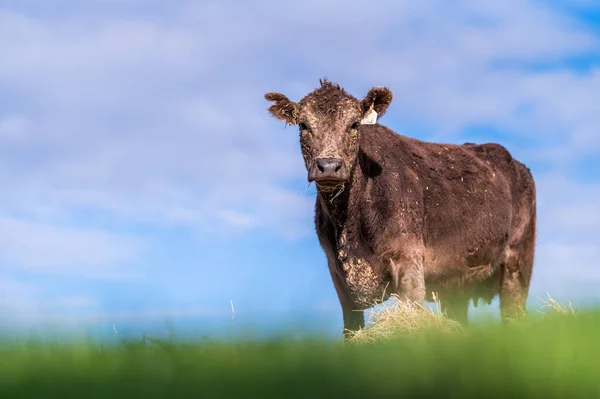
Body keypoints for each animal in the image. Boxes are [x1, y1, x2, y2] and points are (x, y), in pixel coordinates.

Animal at [264, 79, 536, 340]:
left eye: (354, 124)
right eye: (303, 125)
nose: (329, 166)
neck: (350, 230)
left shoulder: (409, 262)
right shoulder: (338, 275)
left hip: (517, 264)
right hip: (456, 282)